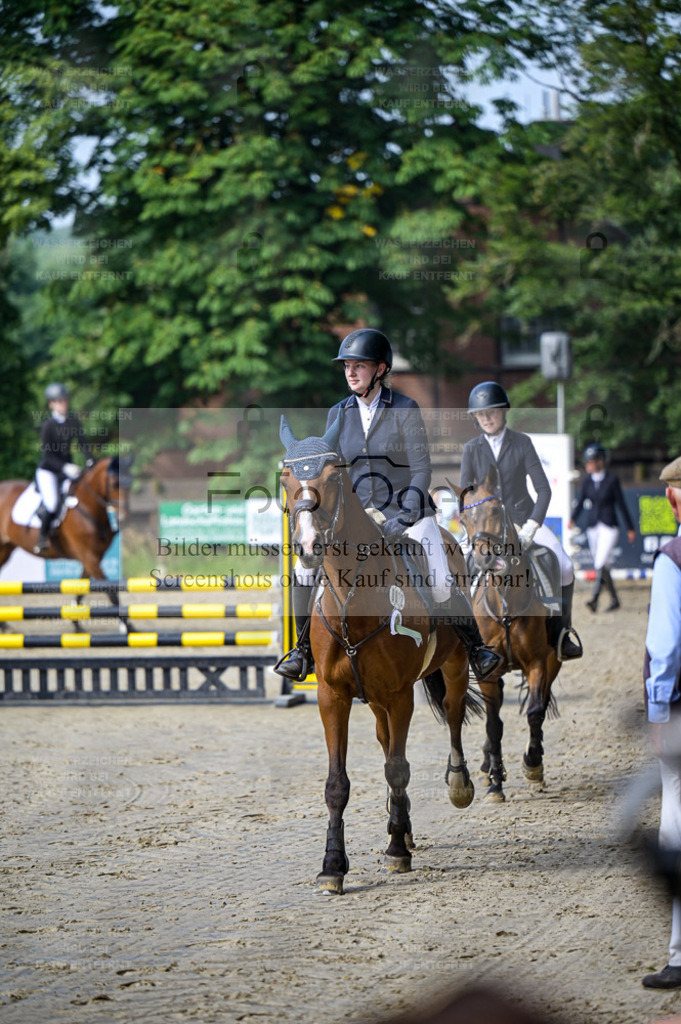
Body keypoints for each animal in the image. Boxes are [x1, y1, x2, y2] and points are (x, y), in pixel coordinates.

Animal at [0, 454, 131, 581]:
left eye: (129, 484)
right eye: (113, 485)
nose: (123, 518)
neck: (87, 504)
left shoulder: (93, 558)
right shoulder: (88, 557)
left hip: (5, 549)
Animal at [278, 411, 475, 892]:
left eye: (334, 476)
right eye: (286, 478)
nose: (308, 549)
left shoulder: (402, 695)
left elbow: (399, 769)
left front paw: (399, 850)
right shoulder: (332, 697)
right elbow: (338, 783)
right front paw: (333, 865)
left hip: (452, 668)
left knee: (454, 715)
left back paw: (455, 788)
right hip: (377, 700)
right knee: (388, 743)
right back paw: (396, 823)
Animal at [454, 468, 561, 802]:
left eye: (495, 510)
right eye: (464, 518)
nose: (486, 559)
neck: (505, 600)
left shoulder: (540, 662)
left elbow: (536, 711)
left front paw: (533, 764)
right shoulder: (488, 672)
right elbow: (494, 725)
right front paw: (495, 784)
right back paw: (488, 764)